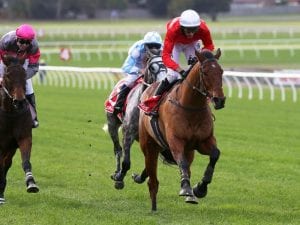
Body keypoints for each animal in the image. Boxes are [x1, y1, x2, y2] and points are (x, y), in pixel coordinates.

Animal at [0, 55, 38, 204]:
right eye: (8, 76)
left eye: (24, 75)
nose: (20, 101)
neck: (10, 113)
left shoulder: (23, 137)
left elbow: (26, 161)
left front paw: (31, 183)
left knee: (6, 164)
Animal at [105, 48, 166, 189]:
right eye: (152, 67)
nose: (164, 81)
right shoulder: (128, 134)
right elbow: (126, 162)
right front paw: (119, 179)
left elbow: (149, 166)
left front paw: (138, 177)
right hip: (112, 123)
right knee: (117, 150)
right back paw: (117, 173)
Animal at [134, 49, 225, 211]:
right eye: (205, 72)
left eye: (221, 71)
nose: (219, 100)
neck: (191, 107)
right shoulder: (175, 141)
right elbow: (181, 162)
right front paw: (186, 188)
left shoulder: (204, 141)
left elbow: (215, 154)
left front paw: (200, 188)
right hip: (148, 145)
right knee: (153, 180)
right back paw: (153, 207)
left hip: (189, 151)